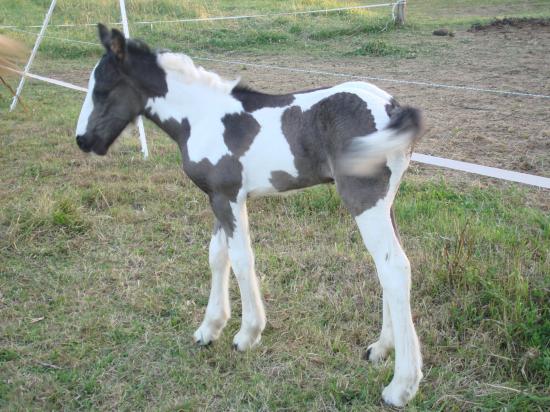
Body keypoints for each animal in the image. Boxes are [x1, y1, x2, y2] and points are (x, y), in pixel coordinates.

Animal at [75, 25, 424, 406]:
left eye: (102, 90)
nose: (82, 140)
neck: (201, 117)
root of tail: (392, 106)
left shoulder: (228, 197)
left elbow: (242, 258)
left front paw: (247, 334)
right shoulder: (218, 197)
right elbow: (217, 256)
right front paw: (208, 328)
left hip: (364, 199)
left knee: (394, 269)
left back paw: (401, 386)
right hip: (385, 203)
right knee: (388, 268)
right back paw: (380, 349)